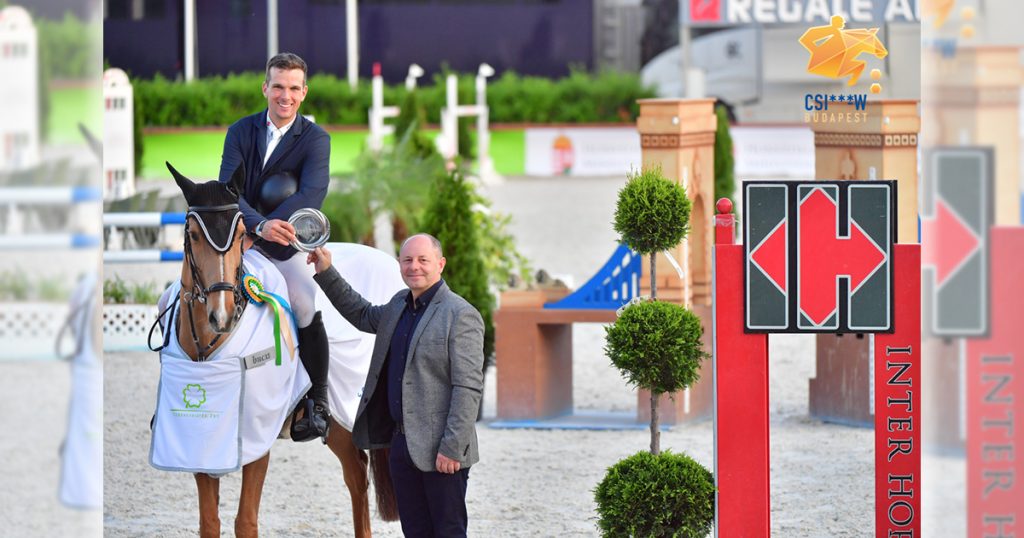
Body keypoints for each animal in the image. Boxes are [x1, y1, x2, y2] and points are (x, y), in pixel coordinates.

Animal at [151, 164, 399, 536]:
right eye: (193, 234)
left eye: (242, 234)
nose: (222, 315)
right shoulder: (201, 442)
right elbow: (209, 521)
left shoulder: (257, 437)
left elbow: (245, 521)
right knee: (356, 474)